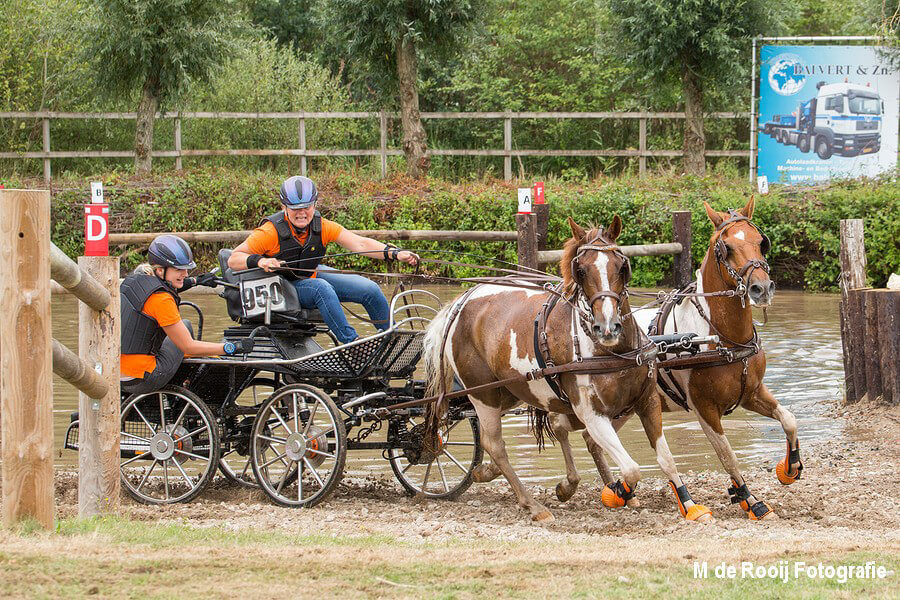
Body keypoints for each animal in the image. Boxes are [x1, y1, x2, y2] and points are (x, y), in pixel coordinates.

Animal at [423, 216, 712, 523]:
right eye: (581, 270)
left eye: (622, 266)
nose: (607, 327)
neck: (613, 352)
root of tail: (461, 302)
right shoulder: (592, 415)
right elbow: (631, 469)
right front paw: (618, 492)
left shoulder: (647, 401)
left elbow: (666, 459)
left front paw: (690, 505)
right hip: (483, 395)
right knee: (495, 445)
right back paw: (532, 505)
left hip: (510, 391)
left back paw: (489, 472)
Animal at [550, 197, 803, 520]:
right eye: (726, 247)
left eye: (762, 242)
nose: (761, 288)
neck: (720, 337)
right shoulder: (704, 408)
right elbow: (727, 455)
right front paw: (750, 499)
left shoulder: (752, 393)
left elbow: (790, 420)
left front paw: (790, 468)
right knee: (561, 427)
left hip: (622, 409)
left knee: (591, 441)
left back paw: (620, 492)